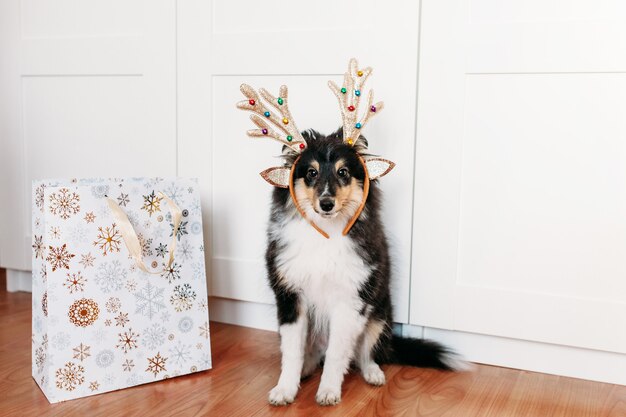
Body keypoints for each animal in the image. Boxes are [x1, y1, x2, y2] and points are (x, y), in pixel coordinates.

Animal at [264, 128, 458, 404]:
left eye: (343, 172)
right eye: (311, 173)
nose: (326, 203)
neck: (326, 233)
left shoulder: (352, 299)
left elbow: (336, 354)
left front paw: (328, 391)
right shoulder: (290, 297)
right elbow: (292, 351)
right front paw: (284, 390)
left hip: (380, 315)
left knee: (365, 354)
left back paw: (373, 373)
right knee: (314, 353)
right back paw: (307, 368)